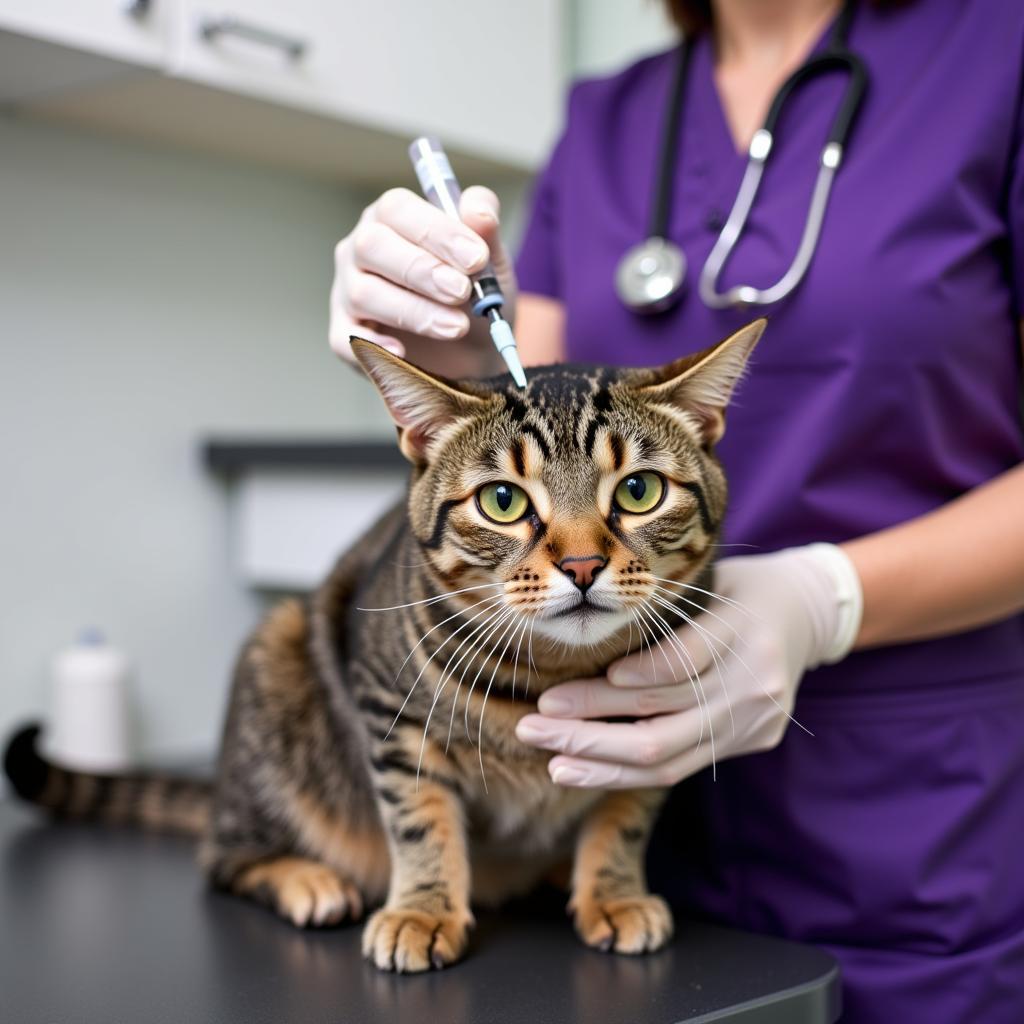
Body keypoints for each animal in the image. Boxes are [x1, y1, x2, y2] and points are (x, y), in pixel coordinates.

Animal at [4, 317, 765, 966]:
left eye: (638, 491)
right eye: (504, 501)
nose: (581, 566)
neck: (554, 673)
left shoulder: (649, 736)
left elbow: (623, 816)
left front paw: (613, 892)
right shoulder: (391, 718)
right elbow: (419, 819)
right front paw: (423, 912)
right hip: (274, 664)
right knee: (223, 858)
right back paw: (308, 881)